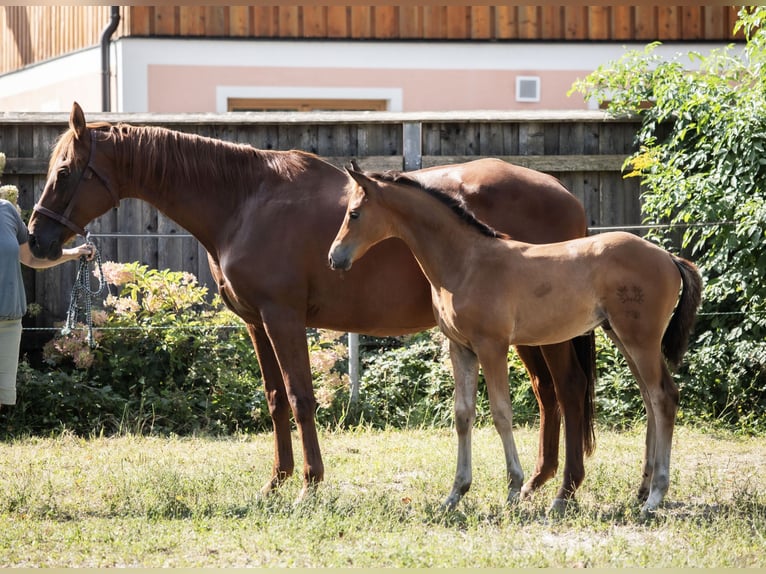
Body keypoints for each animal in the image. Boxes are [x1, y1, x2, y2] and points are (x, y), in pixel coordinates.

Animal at [28, 102, 592, 512]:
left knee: (567, 390)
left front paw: (309, 483)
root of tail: (564, 192)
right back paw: (537, 483)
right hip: (523, 333)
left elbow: (301, 398)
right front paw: (275, 483)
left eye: (65, 171)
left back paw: (565, 490)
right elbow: (276, 398)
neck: (245, 201)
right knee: (546, 395)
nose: (37, 239)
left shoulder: (283, 317)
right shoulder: (256, 323)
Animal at [328, 169, 704, 516]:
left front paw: (512, 488)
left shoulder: (491, 346)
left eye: (355, 213)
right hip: (623, 336)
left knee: (663, 397)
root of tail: (668, 258)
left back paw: (654, 497)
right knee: (650, 399)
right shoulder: (461, 349)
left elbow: (500, 413)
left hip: (639, 339)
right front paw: (455, 494)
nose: (335, 257)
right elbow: (463, 414)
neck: (466, 262)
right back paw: (641, 490)